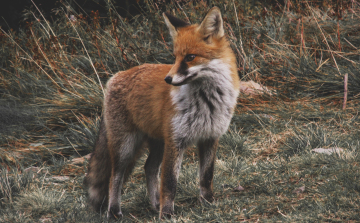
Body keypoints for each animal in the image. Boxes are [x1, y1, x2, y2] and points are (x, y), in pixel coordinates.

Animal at [84, 6, 240, 218]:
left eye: (190, 57)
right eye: (175, 57)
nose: (168, 79)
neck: (207, 102)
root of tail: (116, 76)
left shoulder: (210, 137)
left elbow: (207, 176)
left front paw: (208, 203)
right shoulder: (176, 141)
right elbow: (169, 182)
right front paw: (166, 214)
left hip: (158, 142)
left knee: (149, 168)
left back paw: (154, 204)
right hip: (125, 146)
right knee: (115, 176)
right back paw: (115, 211)